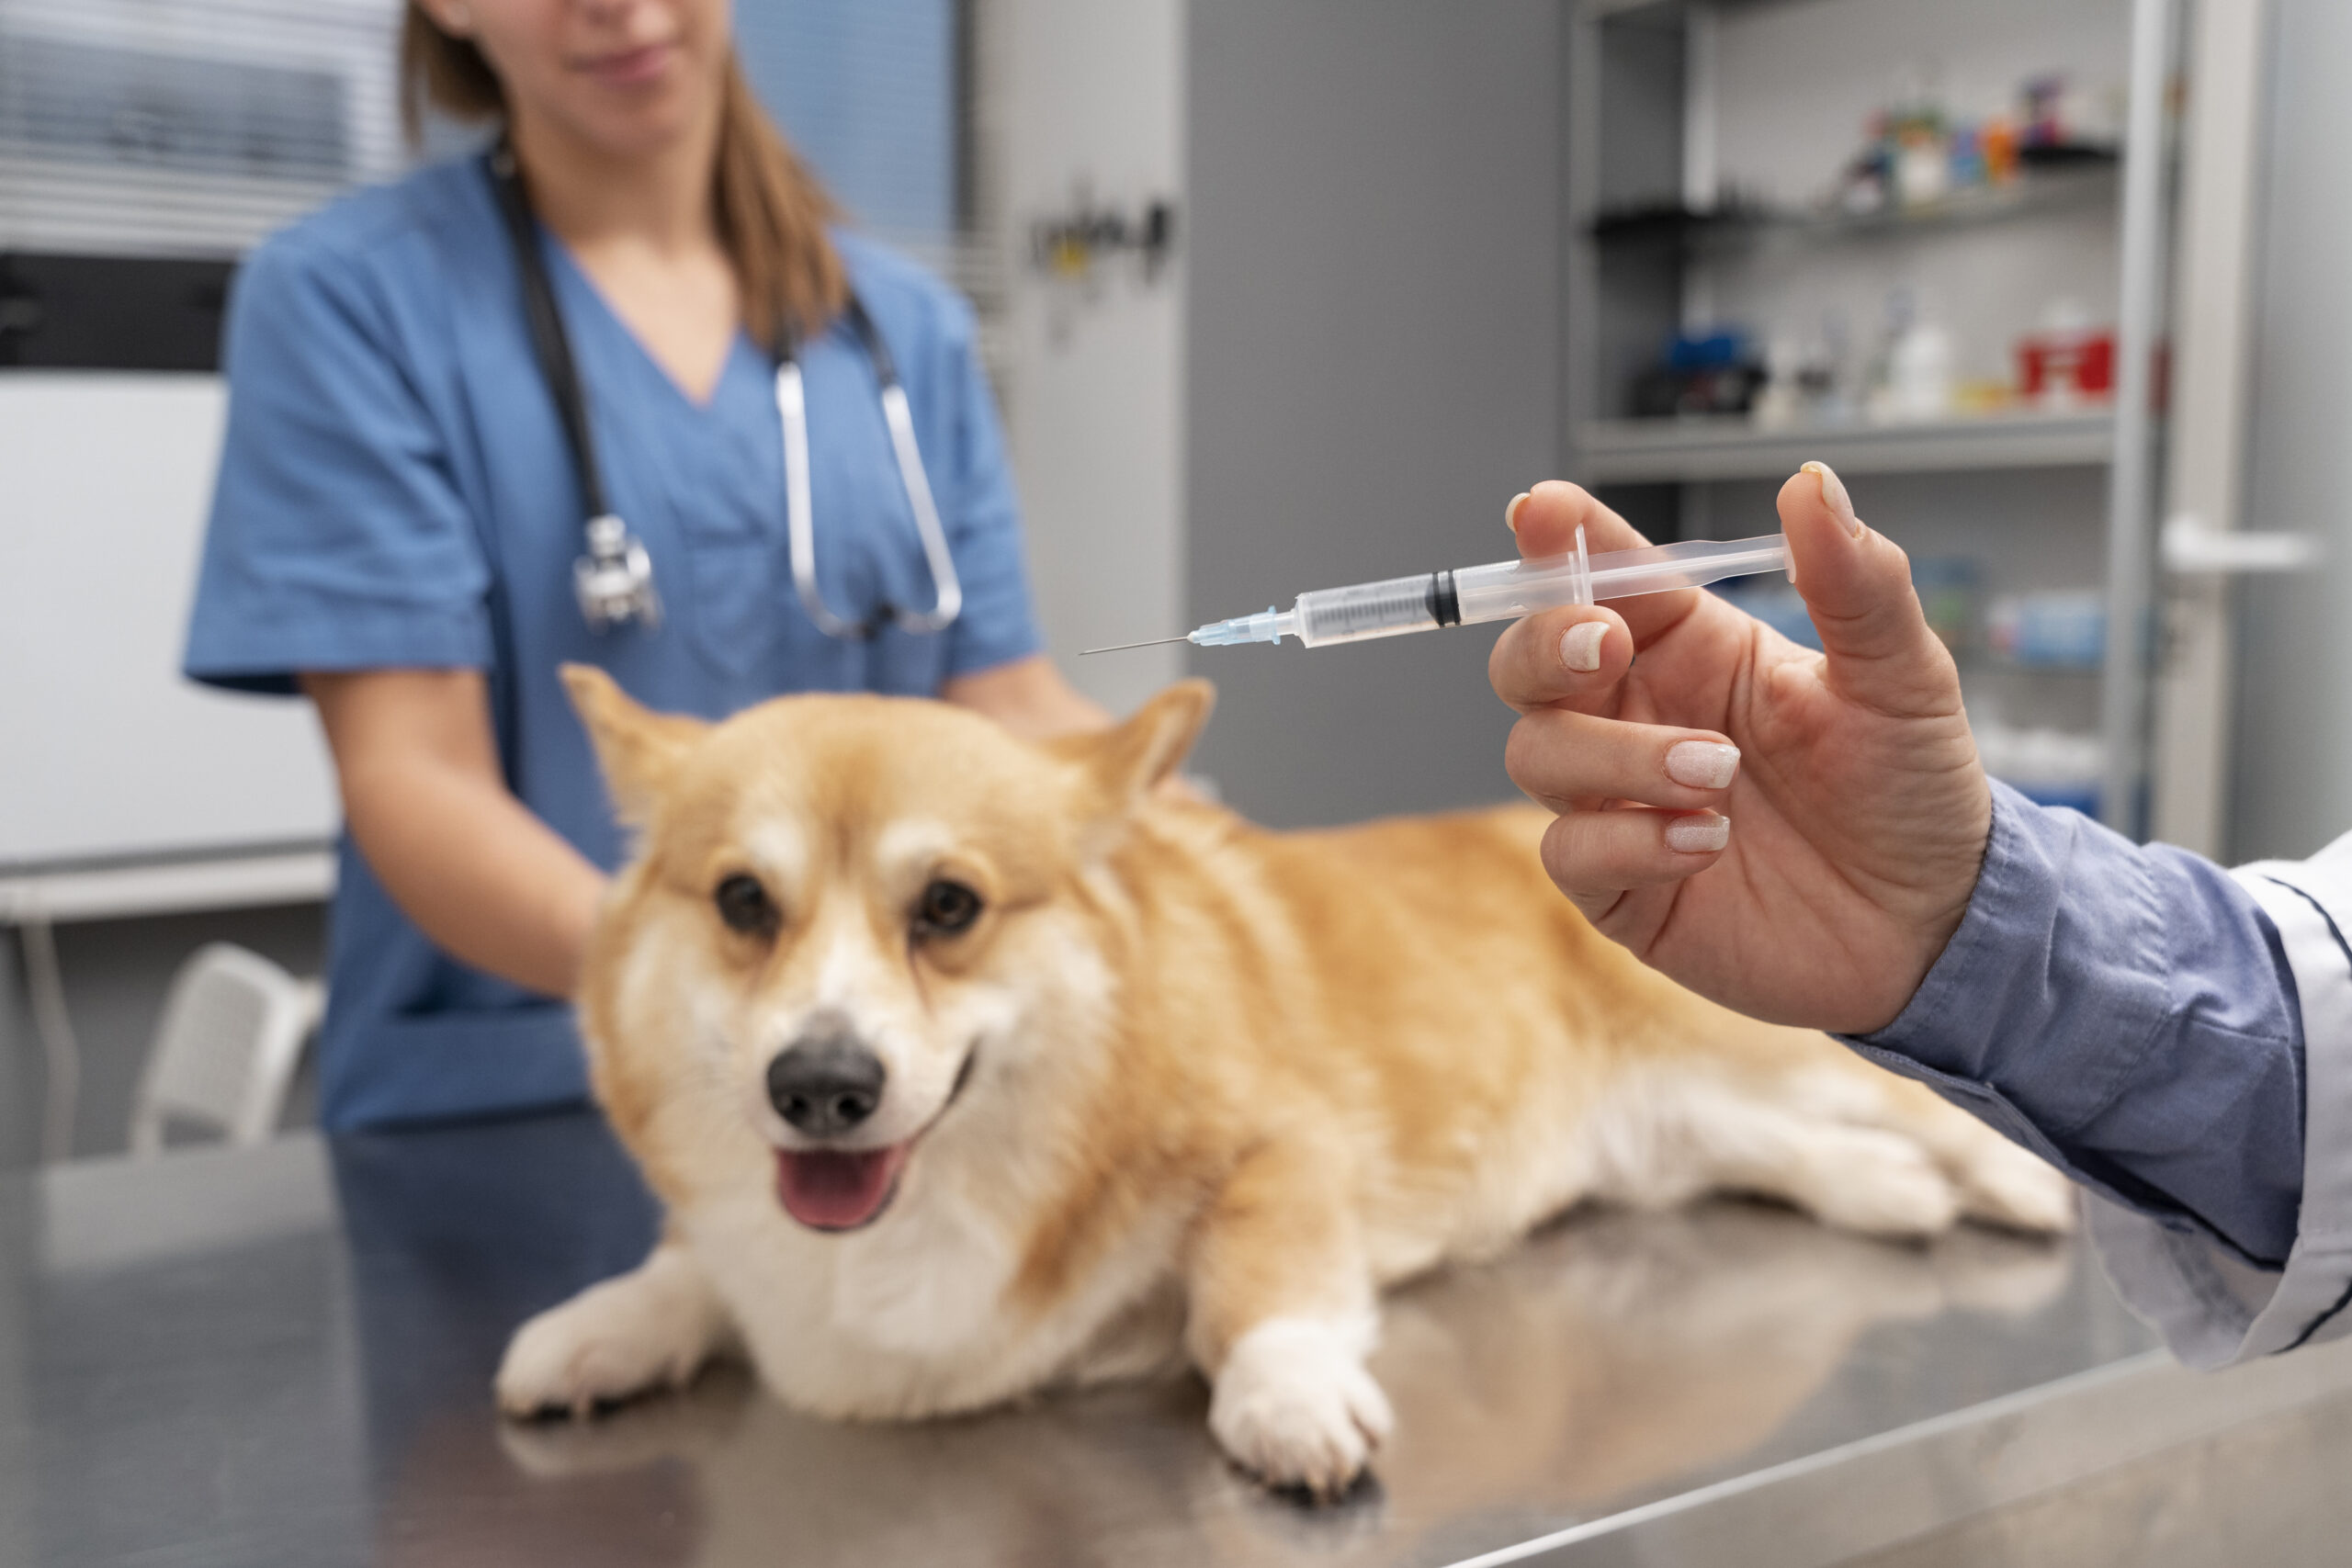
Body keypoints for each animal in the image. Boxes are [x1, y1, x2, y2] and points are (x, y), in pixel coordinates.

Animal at [492, 671, 2060, 1495]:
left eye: (948, 905)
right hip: (1672, 1130)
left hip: (1757, 1040)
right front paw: (592, 1329)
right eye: (742, 902)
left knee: (1920, 1103)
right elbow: (689, 1268)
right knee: (1799, 1148)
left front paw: (1291, 1402)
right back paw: (1893, 1193)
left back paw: (2017, 1184)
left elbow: (1257, 1283)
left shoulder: (1284, 1150)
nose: (819, 1084)